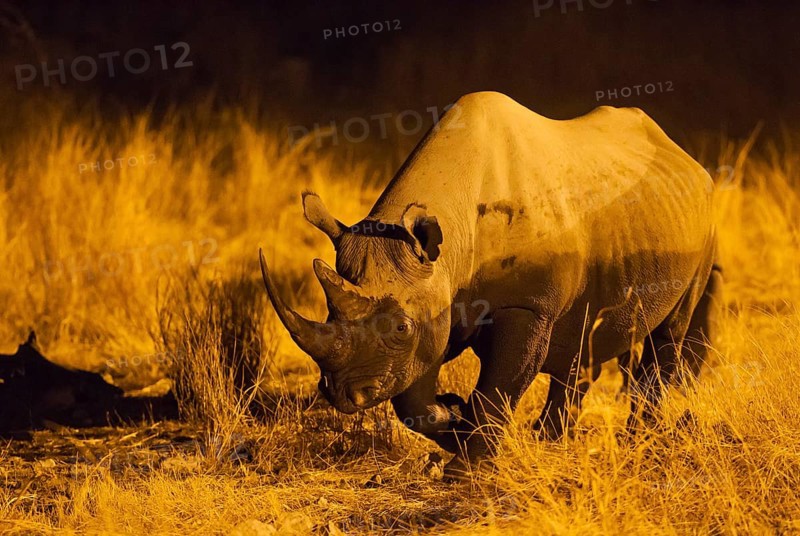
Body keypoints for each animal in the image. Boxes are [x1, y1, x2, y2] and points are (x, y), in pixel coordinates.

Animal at [259, 91, 721, 479]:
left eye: (401, 327)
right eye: (328, 312)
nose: (343, 396)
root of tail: (686, 159)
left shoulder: (527, 303)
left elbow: (498, 387)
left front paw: (466, 472)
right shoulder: (438, 297)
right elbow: (412, 399)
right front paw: (454, 419)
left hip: (704, 222)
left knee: (670, 330)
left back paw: (638, 441)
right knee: (583, 342)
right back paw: (552, 440)